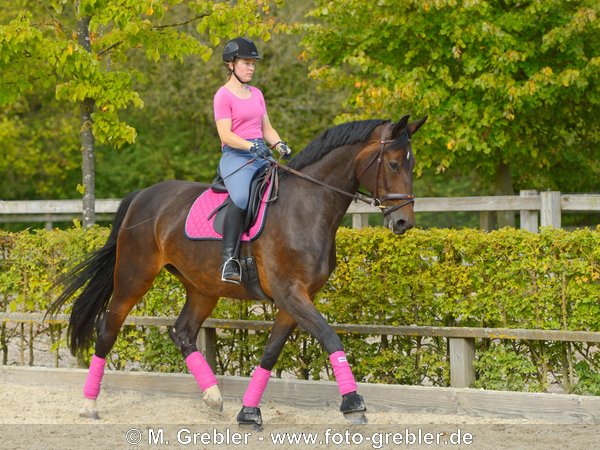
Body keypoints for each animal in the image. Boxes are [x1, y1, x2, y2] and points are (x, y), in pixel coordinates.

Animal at [49, 114, 428, 428]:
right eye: (394, 164)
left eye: (411, 164)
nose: (403, 222)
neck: (307, 207)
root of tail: (143, 196)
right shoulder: (291, 293)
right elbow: (330, 336)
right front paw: (353, 404)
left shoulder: (294, 299)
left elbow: (271, 352)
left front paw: (248, 412)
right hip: (134, 276)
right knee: (108, 329)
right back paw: (89, 405)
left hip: (202, 287)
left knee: (182, 332)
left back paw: (213, 397)